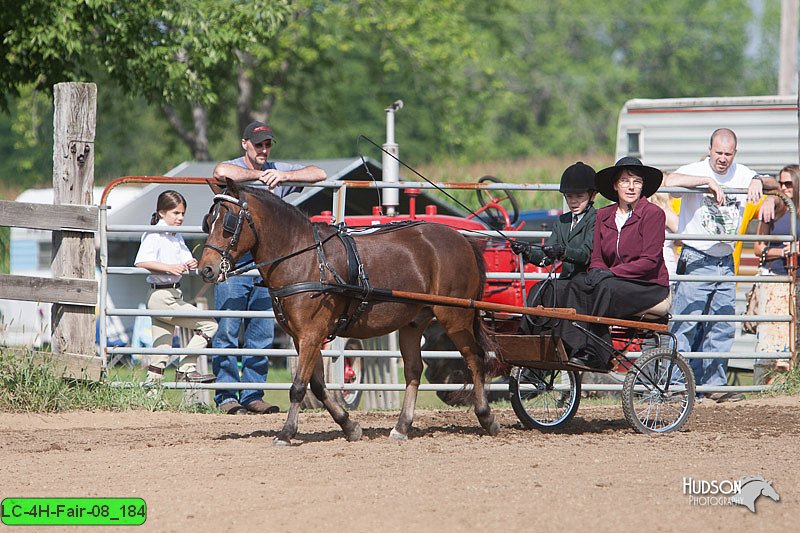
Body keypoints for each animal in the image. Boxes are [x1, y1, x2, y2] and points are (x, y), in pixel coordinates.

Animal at [198, 180, 500, 444]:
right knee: (414, 370)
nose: (206, 270)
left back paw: (486, 417)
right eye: (208, 221)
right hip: (413, 323)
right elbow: (318, 385)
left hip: (456, 317)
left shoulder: (311, 334)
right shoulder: (302, 337)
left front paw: (286, 433)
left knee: (474, 359)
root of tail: (462, 240)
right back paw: (402, 427)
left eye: (228, 223)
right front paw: (349, 426)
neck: (303, 257)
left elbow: (298, 386)